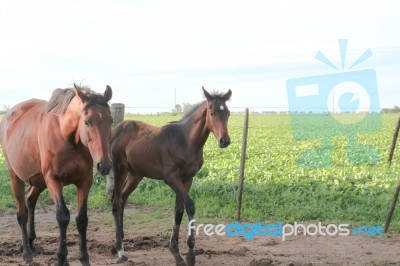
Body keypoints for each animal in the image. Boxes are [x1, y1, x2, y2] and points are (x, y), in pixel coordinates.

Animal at [0, 84, 113, 266]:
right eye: (87, 122)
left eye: (111, 121)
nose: (105, 165)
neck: (66, 136)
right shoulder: (53, 180)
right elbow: (62, 216)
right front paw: (61, 258)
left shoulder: (85, 181)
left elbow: (82, 219)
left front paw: (84, 258)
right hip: (16, 178)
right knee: (22, 213)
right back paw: (26, 253)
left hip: (39, 181)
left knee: (30, 201)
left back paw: (31, 242)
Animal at [107, 86, 231, 264]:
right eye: (212, 112)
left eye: (227, 113)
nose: (224, 141)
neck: (185, 142)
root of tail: (116, 130)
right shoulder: (171, 178)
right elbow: (190, 205)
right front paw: (190, 255)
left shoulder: (187, 179)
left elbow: (178, 211)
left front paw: (176, 251)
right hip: (120, 170)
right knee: (116, 202)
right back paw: (120, 250)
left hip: (136, 175)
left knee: (122, 199)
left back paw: (117, 243)